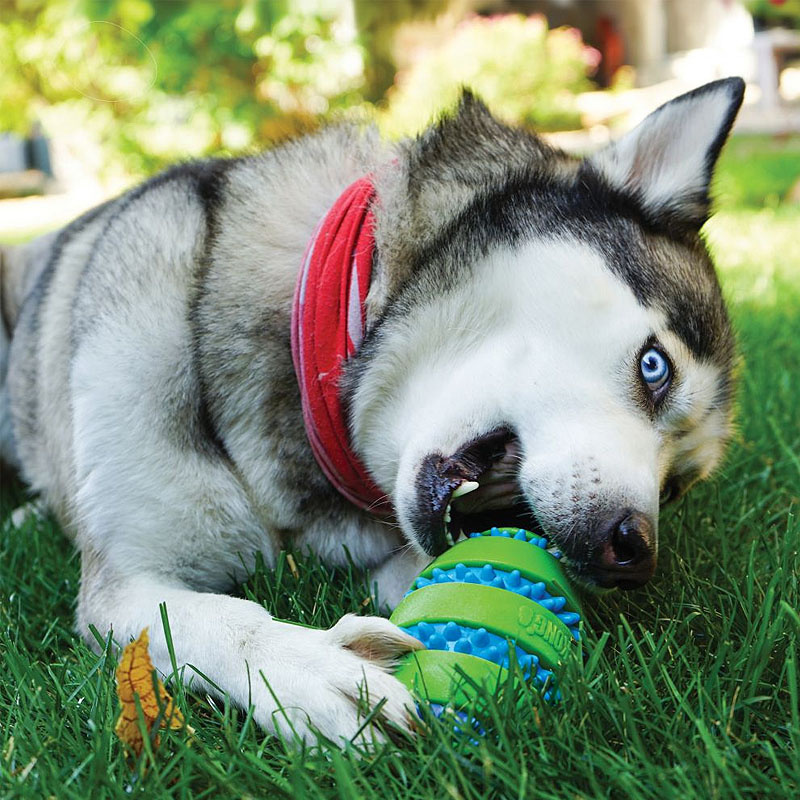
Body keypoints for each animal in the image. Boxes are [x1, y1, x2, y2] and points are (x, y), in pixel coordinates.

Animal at [3, 78, 748, 740]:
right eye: (655, 368)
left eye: (675, 489)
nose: (635, 554)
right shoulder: (125, 585)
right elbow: (210, 616)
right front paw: (303, 671)